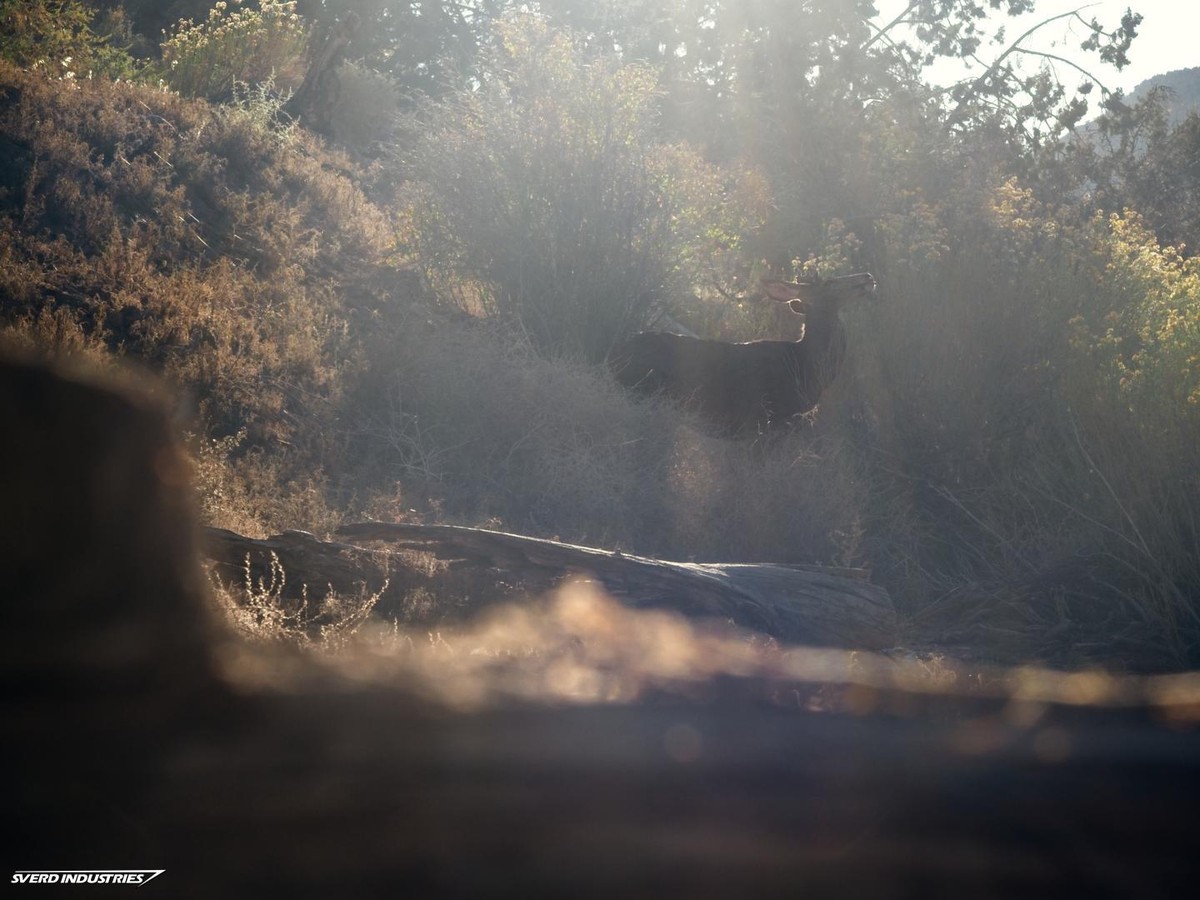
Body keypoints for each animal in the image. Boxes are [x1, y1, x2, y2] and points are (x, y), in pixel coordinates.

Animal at [608, 272, 877, 436]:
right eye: (830, 282)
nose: (867, 277)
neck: (804, 365)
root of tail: (614, 356)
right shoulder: (768, 417)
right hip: (645, 390)